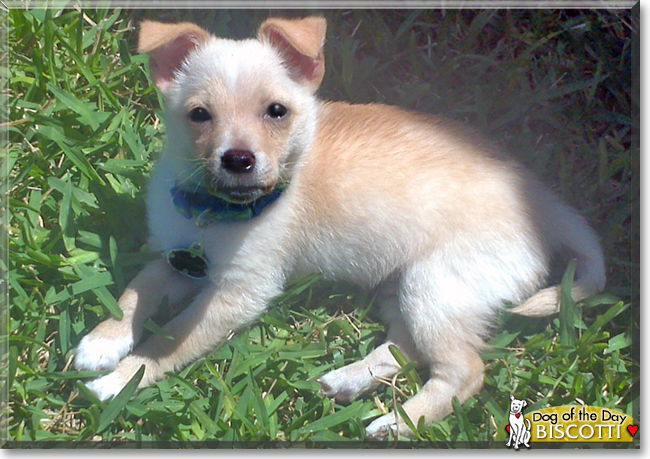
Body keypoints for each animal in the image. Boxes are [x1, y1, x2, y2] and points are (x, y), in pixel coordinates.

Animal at [73, 18, 604, 440]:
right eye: (199, 115)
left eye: (277, 112)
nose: (239, 160)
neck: (215, 212)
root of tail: (542, 202)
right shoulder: (177, 257)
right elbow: (134, 293)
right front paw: (102, 341)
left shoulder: (237, 294)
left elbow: (170, 339)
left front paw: (121, 379)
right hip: (408, 285)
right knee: (406, 346)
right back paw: (351, 380)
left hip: (439, 285)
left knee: (464, 372)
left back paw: (398, 423)